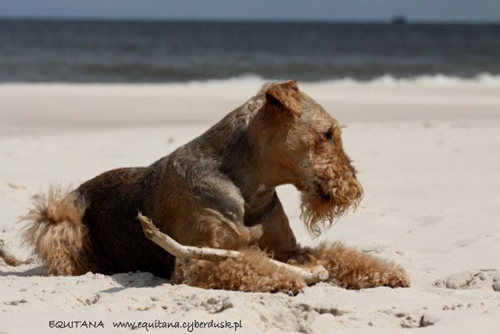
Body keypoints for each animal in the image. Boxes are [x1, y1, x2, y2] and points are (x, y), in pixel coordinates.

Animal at [2, 80, 410, 292]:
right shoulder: (196, 262)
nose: (354, 189)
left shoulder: (289, 249)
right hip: (60, 221)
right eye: (327, 134)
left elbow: (334, 256)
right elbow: (247, 263)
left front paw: (387, 273)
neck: (249, 189)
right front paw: (283, 280)